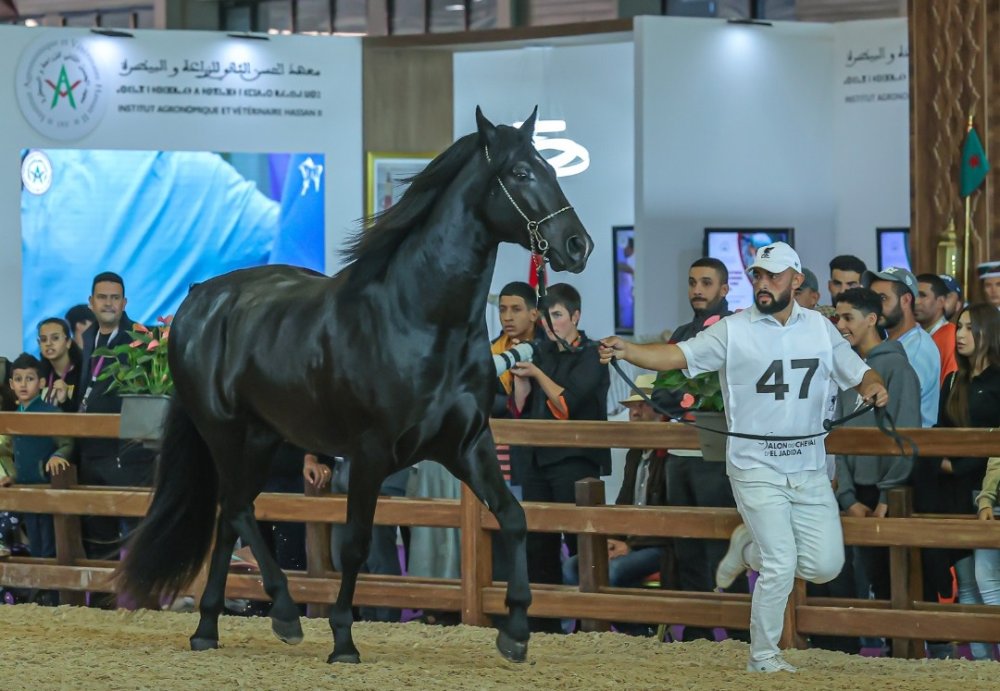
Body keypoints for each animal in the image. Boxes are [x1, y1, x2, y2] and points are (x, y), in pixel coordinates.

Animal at [116, 107, 588, 664]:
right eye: (520, 173)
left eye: (552, 168)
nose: (578, 244)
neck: (421, 319)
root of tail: (196, 299)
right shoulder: (370, 452)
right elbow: (356, 544)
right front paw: (343, 638)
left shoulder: (467, 444)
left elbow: (513, 517)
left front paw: (514, 632)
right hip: (224, 432)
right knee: (236, 510)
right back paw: (283, 614)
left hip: (261, 438)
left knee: (230, 516)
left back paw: (210, 627)